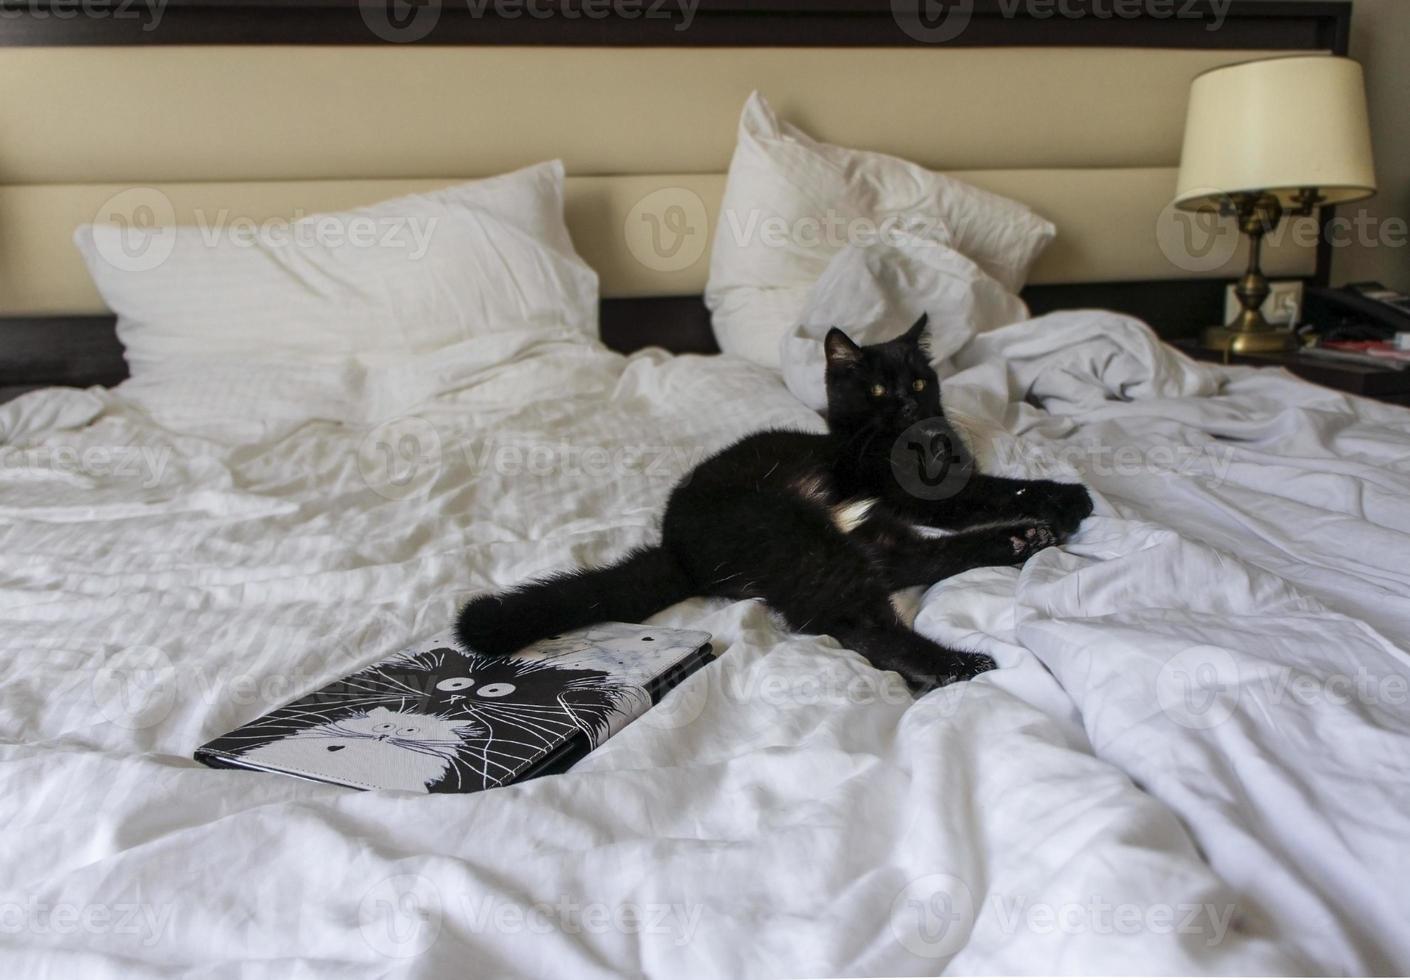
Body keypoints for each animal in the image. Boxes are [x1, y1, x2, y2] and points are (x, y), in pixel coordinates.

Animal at [456, 318, 1094, 693]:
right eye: (878, 390)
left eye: (918, 383)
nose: (912, 409)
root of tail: (675, 547)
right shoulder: (913, 494)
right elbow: (994, 487)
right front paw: (1070, 497)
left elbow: (995, 487)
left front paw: (1057, 505)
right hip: (798, 540)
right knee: (858, 623)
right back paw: (953, 665)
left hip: (859, 535)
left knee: (917, 565)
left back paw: (1023, 540)